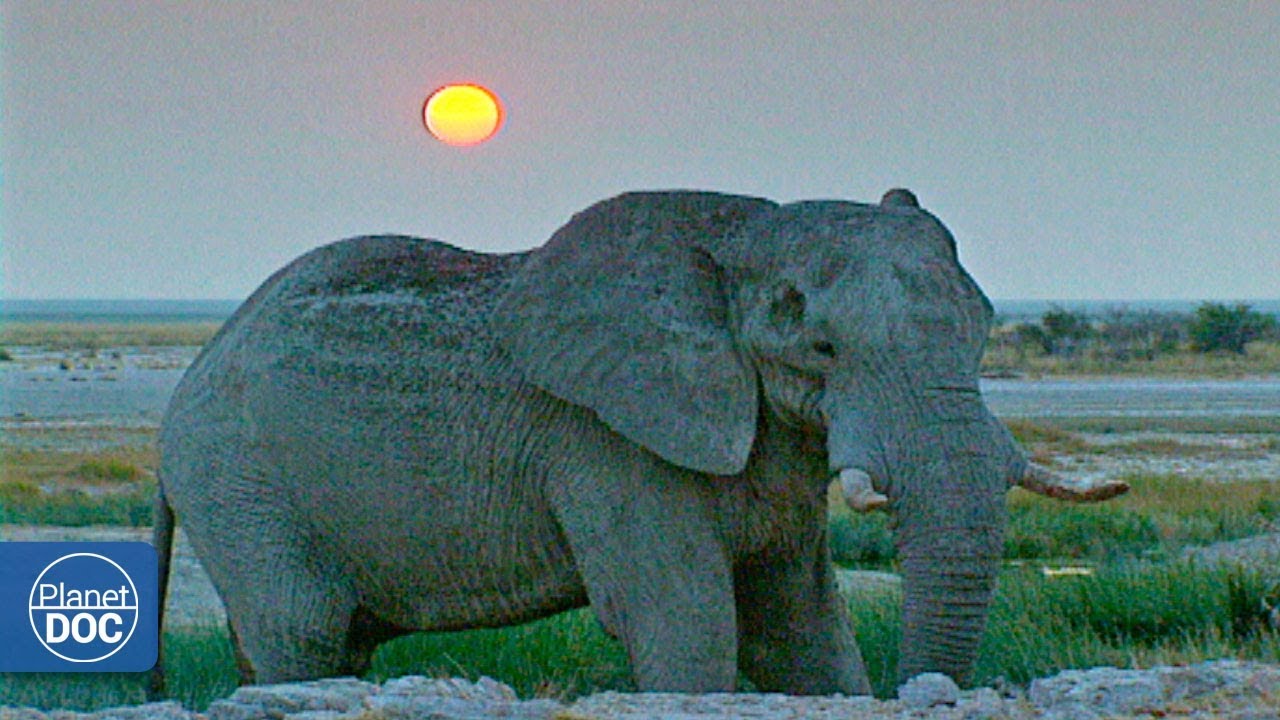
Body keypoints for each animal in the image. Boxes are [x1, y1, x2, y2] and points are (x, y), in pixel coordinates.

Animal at [153, 188, 1126, 697]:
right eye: (822, 349)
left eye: (984, 330)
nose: (927, 691)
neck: (742, 234)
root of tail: (194, 371)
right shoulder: (605, 440)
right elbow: (687, 618)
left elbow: (800, 626)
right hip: (238, 479)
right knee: (304, 636)